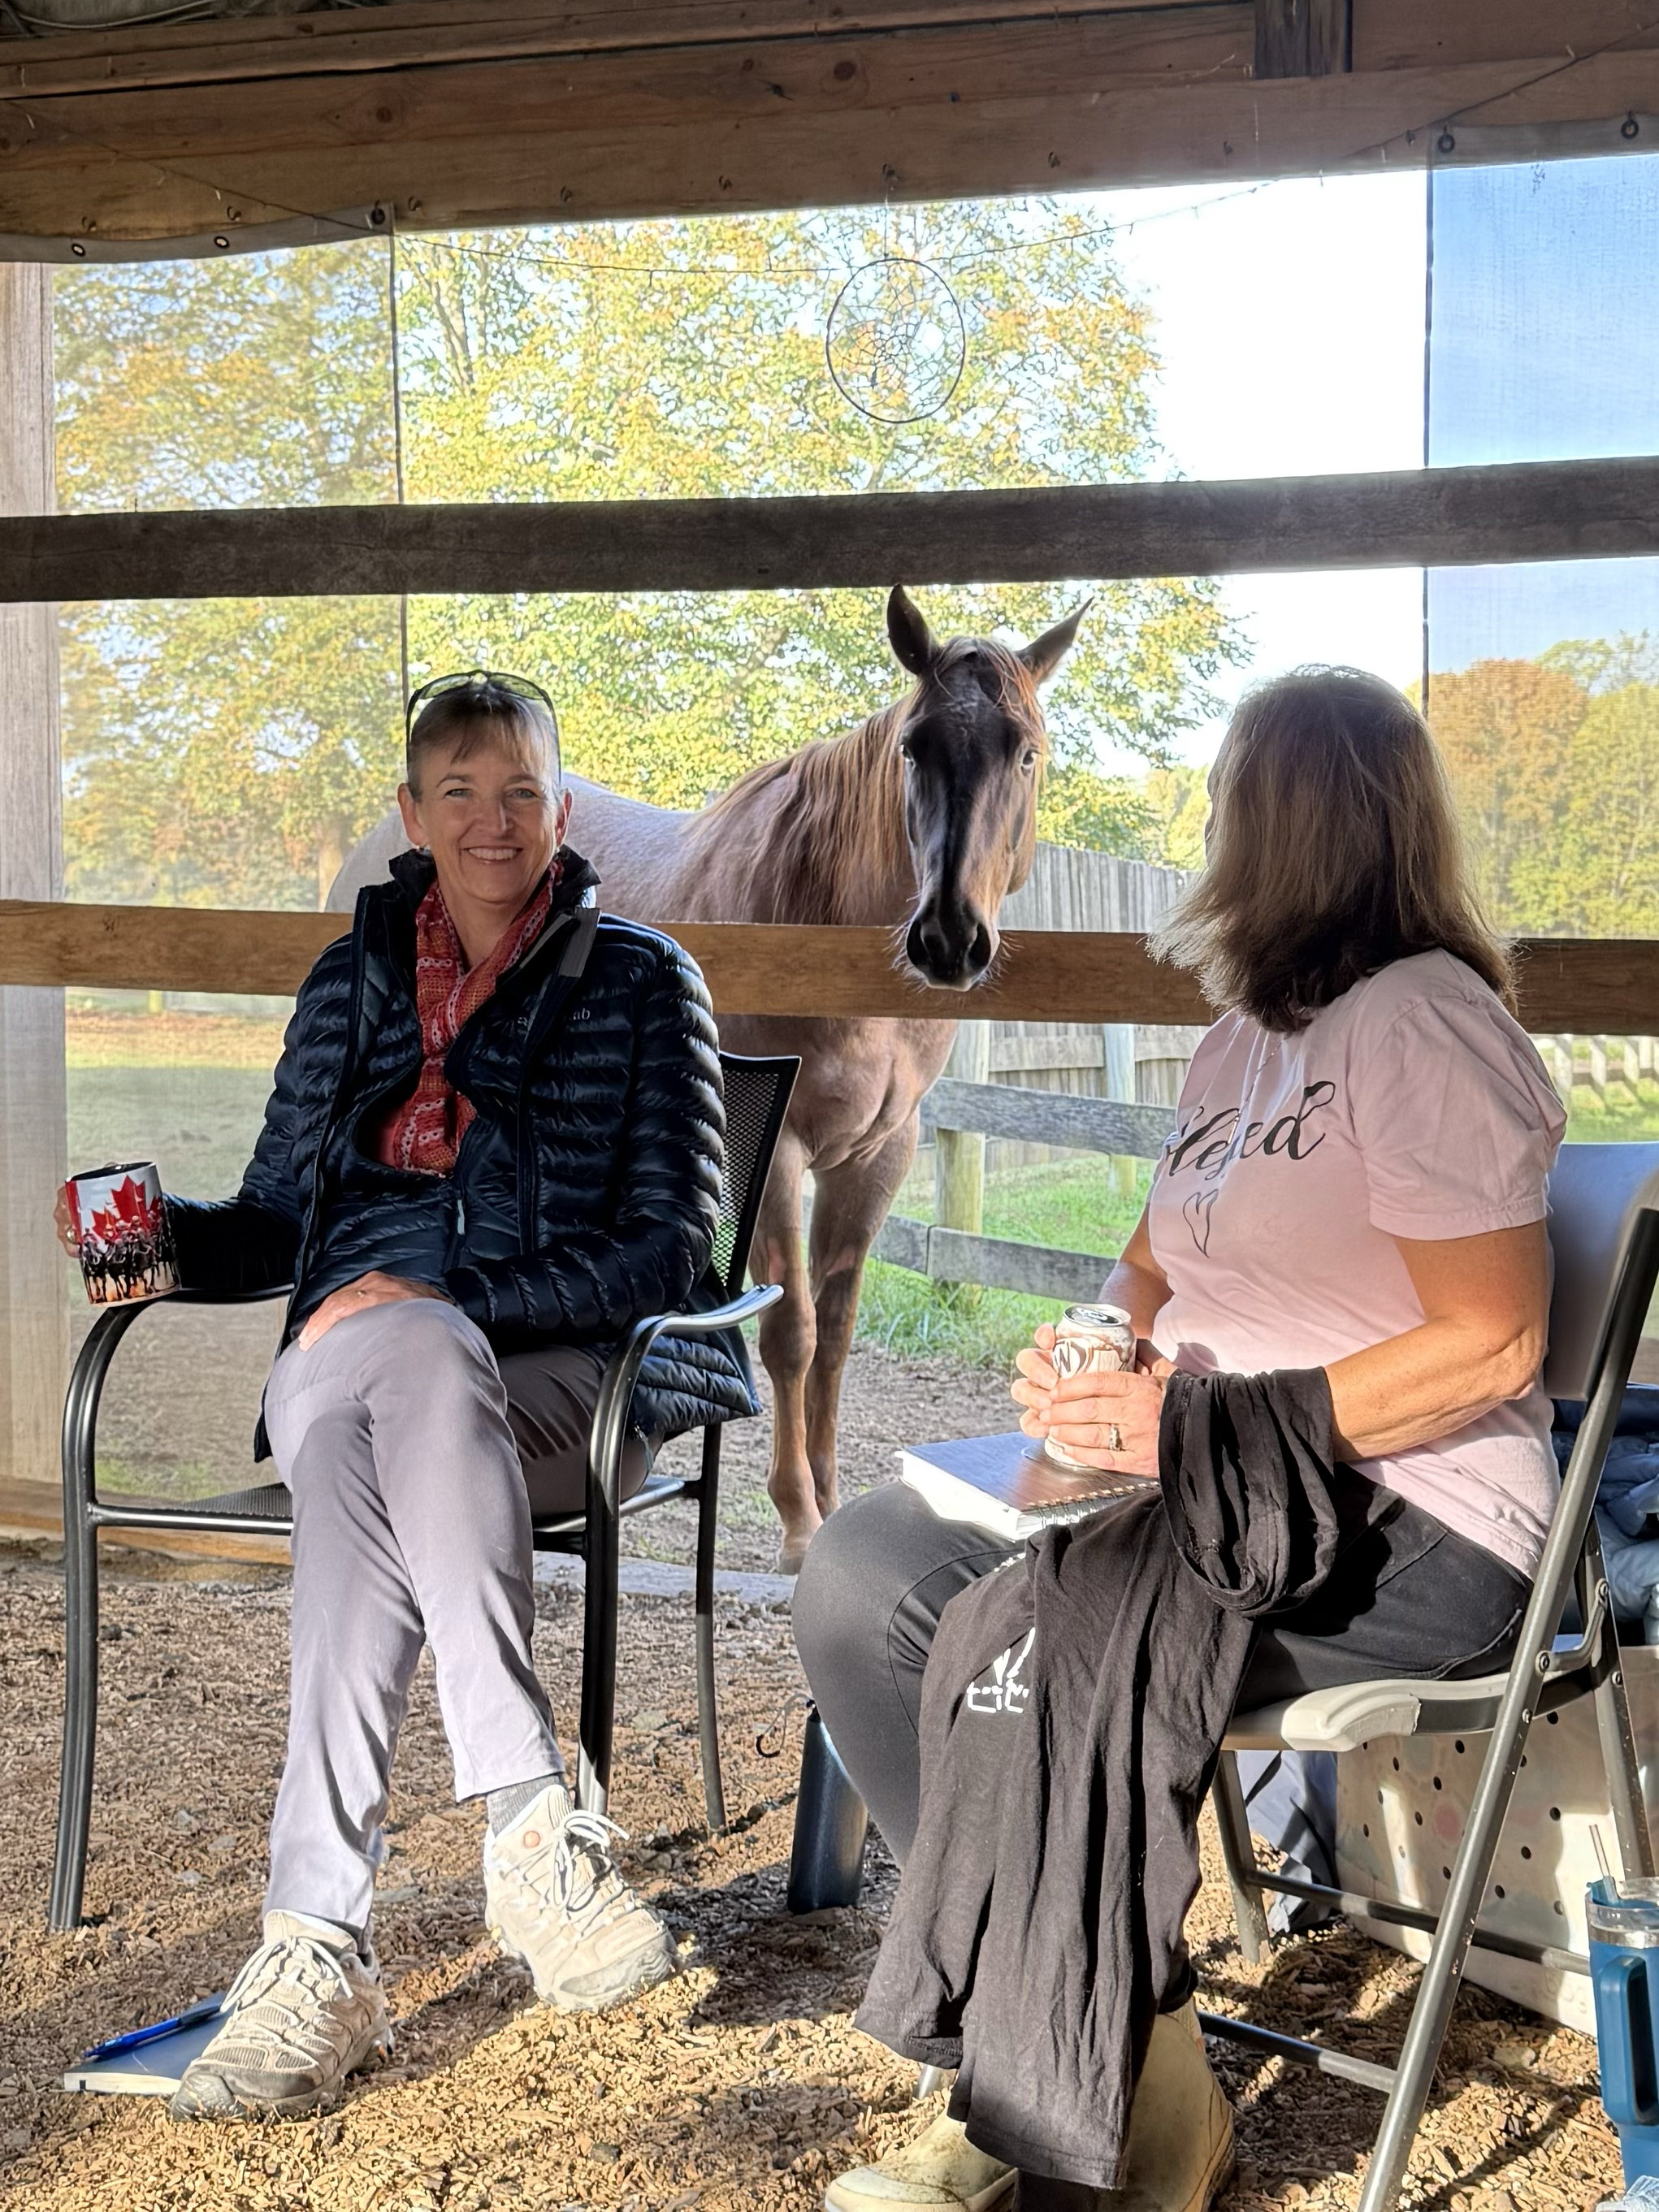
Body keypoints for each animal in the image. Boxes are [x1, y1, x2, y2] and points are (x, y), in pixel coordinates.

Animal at [331, 586, 1085, 1570]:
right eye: (914, 747)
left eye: (1025, 750)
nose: (949, 938)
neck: (818, 922)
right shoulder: (779, 1150)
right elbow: (790, 1334)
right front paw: (800, 1521)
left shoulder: (879, 1151)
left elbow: (837, 1334)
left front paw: (832, 1498)